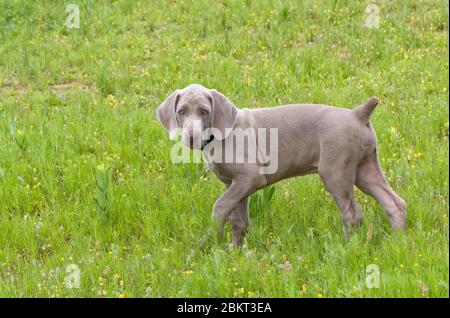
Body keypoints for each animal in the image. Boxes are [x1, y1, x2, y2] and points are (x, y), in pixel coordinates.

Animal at [156, 84, 406, 246]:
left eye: (205, 111)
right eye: (181, 112)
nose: (190, 138)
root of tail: (358, 114)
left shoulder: (250, 177)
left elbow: (220, 206)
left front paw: (212, 240)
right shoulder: (235, 184)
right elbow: (238, 219)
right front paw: (234, 250)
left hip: (336, 171)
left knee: (353, 214)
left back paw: (345, 246)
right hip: (365, 168)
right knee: (395, 203)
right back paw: (398, 242)